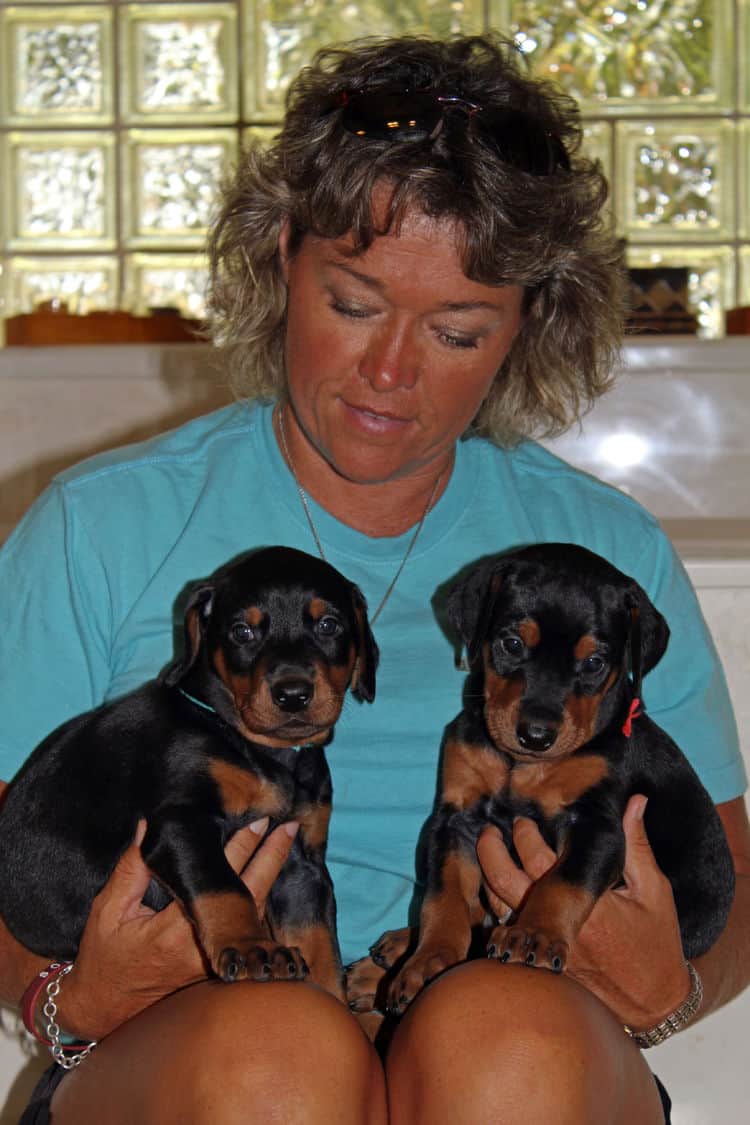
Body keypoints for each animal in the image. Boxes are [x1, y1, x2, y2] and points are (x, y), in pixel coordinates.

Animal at [0, 549, 375, 999]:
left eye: (329, 625)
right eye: (242, 632)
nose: (293, 694)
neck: (260, 750)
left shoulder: (303, 866)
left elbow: (321, 952)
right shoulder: (180, 824)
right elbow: (224, 886)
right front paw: (252, 946)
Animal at [350, 540, 733, 1017]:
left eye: (594, 662)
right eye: (512, 643)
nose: (535, 735)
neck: (520, 766)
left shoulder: (598, 826)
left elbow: (563, 882)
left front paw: (533, 934)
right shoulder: (455, 819)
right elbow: (445, 899)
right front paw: (428, 961)